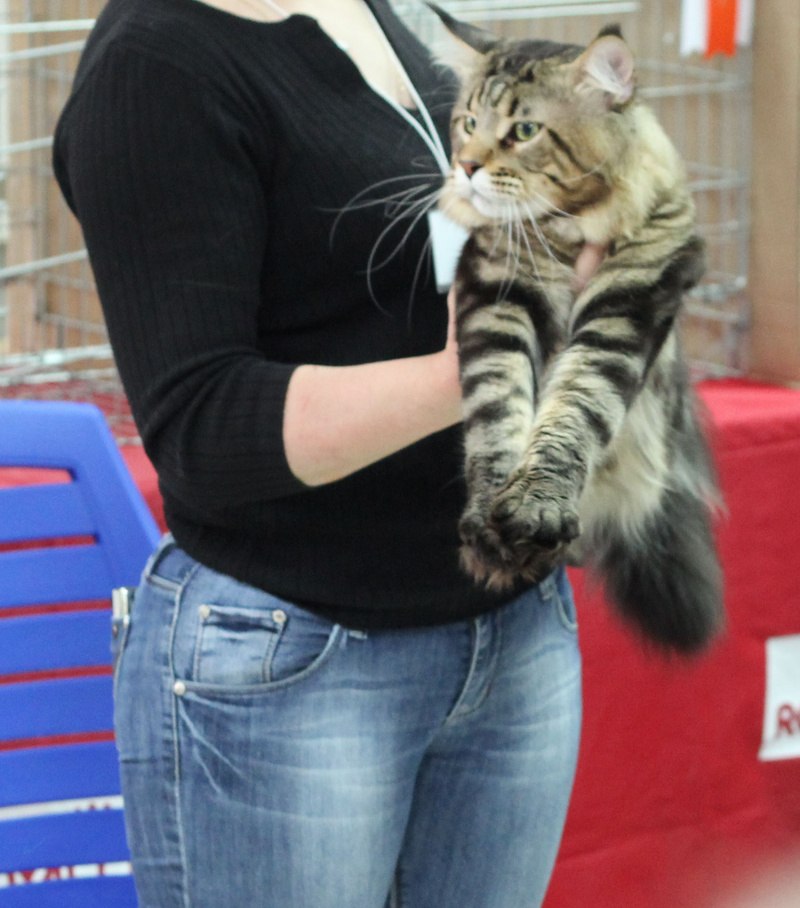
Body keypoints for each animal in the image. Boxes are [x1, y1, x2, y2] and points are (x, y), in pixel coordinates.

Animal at [428, 4, 724, 652]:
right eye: (469, 122)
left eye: (524, 131)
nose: (466, 167)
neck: (565, 233)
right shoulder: (496, 294)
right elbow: (496, 412)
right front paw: (490, 524)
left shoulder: (631, 300)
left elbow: (575, 412)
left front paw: (536, 508)